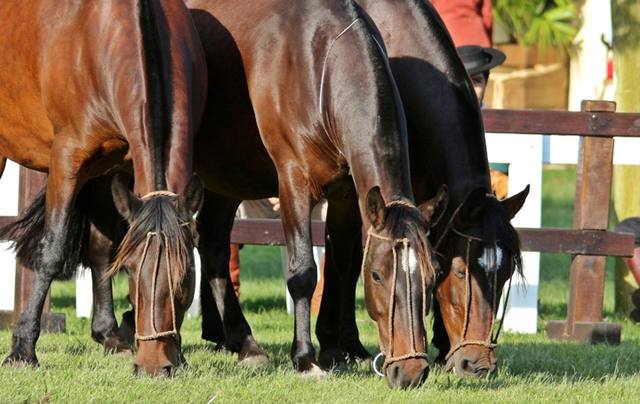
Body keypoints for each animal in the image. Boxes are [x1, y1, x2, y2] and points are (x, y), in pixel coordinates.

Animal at [0, 0, 206, 378]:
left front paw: (113, 334)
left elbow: (105, 249)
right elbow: (51, 252)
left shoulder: (117, 170)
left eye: (185, 277)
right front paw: (22, 349)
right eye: (133, 274)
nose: (153, 365)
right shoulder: (66, 162)